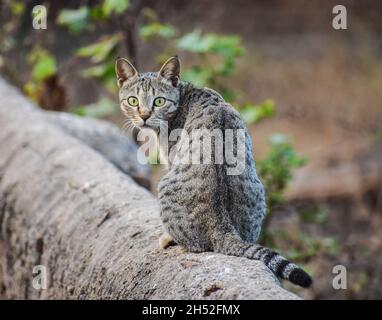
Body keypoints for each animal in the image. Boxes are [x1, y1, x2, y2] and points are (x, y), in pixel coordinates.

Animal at [116, 55, 314, 288]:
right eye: (133, 101)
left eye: (159, 101)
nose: (144, 115)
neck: (186, 92)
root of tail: (221, 226)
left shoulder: (171, 159)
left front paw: (165, 237)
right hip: (258, 190)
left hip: (164, 184)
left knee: (194, 245)